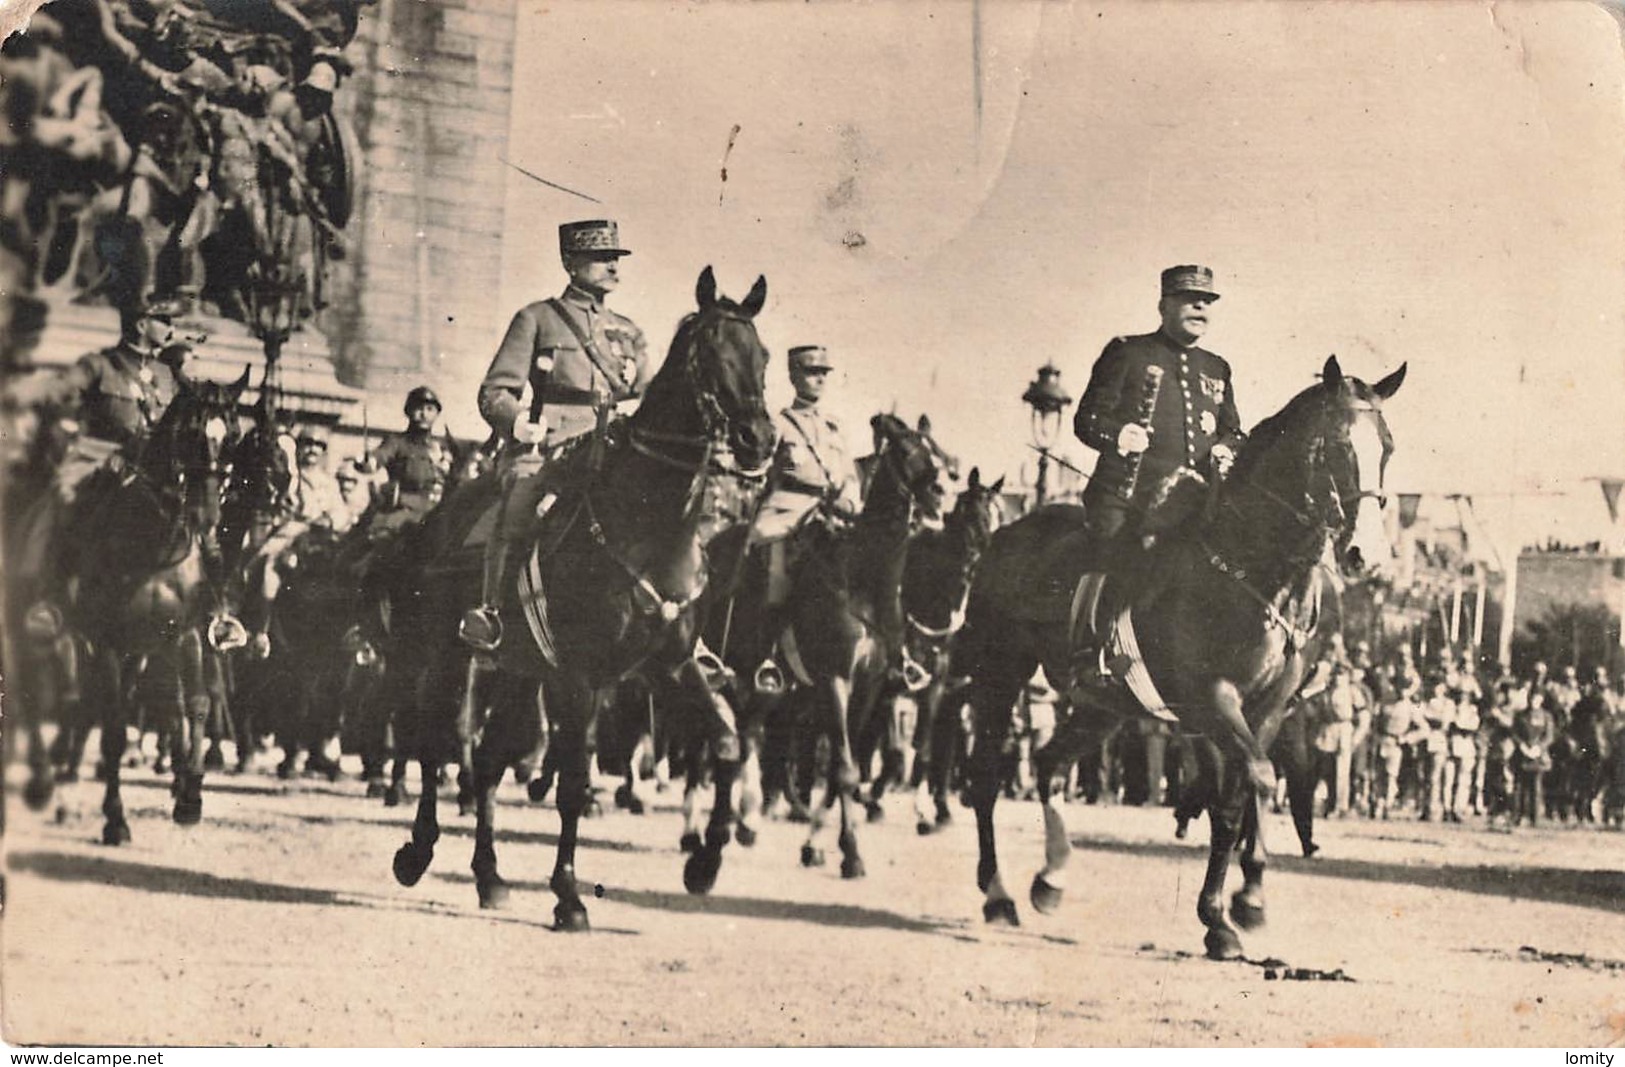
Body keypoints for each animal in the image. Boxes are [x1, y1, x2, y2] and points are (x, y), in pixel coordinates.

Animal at [66, 367, 251, 838]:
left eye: (235, 435)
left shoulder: (182, 636)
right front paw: (115, 819)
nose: (207, 517)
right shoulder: (108, 641)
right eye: (190, 432)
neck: (154, 544)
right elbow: (114, 724)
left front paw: (190, 796)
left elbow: (195, 704)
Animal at [386, 267, 780, 922]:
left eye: (763, 354)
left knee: (488, 759)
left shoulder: (669, 666)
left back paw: (489, 875)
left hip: (519, 669)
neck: (645, 521)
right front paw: (569, 895)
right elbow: (573, 780)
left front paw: (705, 861)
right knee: (436, 739)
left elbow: (724, 744)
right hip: (449, 655)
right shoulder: (580, 677)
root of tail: (442, 513)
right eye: (709, 352)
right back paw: (417, 852)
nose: (760, 439)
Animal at [955, 357, 1404, 954]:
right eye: (1335, 445)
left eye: (1388, 446)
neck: (1251, 568)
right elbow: (1253, 784)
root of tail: (1005, 535)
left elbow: (1238, 798)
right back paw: (998, 894)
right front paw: (1226, 909)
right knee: (984, 776)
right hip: (1000, 675)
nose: (1365, 556)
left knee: (1049, 762)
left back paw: (1051, 878)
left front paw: (1235, 907)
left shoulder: (1266, 709)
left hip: (1103, 706)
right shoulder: (1212, 701)